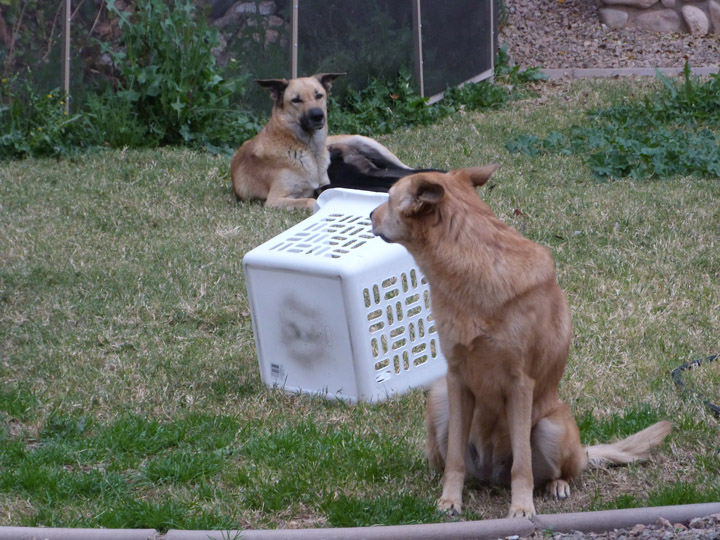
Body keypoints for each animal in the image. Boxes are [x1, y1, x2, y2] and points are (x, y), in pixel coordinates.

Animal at [368, 166, 672, 520]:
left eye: (389, 198)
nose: (369, 215)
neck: (472, 271)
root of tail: (490, 475)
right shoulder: (456, 379)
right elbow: (455, 460)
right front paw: (450, 500)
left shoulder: (520, 384)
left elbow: (522, 466)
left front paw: (522, 508)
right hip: (439, 397)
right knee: (445, 458)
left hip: (551, 427)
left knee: (558, 470)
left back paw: (557, 485)